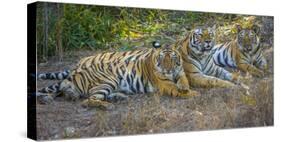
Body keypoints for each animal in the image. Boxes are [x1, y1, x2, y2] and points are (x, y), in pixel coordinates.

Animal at [36, 43, 197, 109]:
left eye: (172, 58)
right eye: (162, 59)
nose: (167, 70)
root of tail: (78, 69)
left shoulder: (180, 73)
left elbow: (184, 81)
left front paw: (185, 88)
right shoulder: (165, 83)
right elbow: (176, 89)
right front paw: (193, 93)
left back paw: (119, 97)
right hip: (108, 81)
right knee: (88, 100)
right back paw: (108, 106)